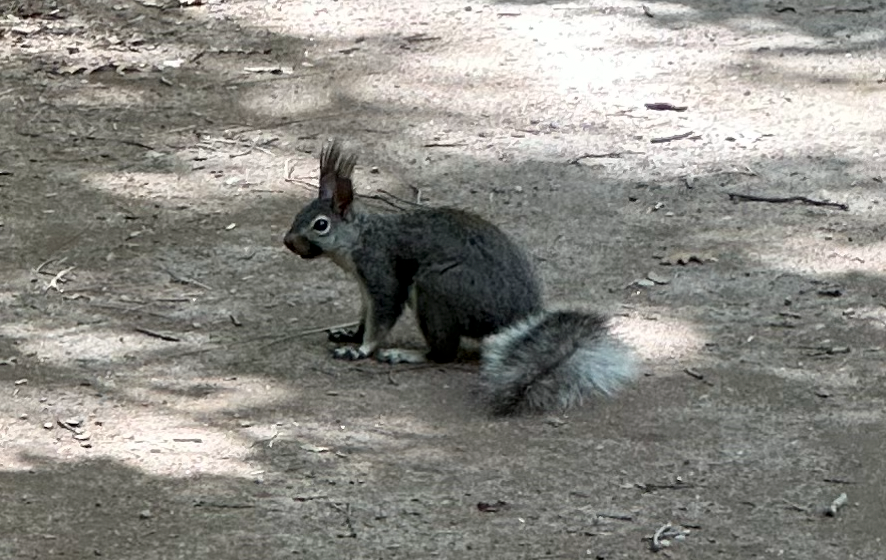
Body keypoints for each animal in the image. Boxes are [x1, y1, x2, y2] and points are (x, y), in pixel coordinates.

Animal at [284, 139, 636, 415]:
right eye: (298, 214)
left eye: (320, 225)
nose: (288, 242)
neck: (360, 240)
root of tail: (521, 317)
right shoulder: (364, 287)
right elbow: (364, 315)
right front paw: (350, 334)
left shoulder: (381, 273)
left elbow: (382, 316)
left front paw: (361, 349)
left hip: (437, 286)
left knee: (444, 353)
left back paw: (407, 354)